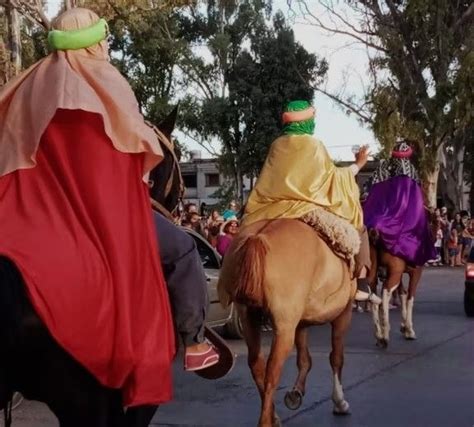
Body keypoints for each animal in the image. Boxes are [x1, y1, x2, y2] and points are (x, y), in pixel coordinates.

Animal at [218, 221, 356, 427]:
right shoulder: (344, 313)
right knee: (273, 371)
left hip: (249, 318)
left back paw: (273, 415)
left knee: (256, 363)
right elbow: (336, 357)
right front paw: (340, 402)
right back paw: (266, 421)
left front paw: (296, 392)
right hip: (284, 328)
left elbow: (304, 358)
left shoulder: (300, 320)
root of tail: (257, 237)